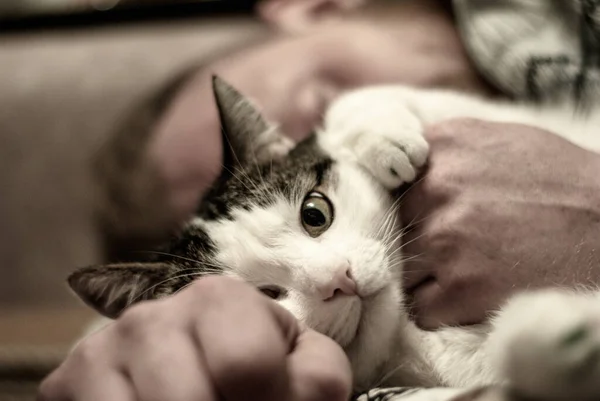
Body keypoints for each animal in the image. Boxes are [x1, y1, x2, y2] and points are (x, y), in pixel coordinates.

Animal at [68, 76, 600, 398]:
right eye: (263, 297)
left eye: (315, 213)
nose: (339, 278)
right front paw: (562, 336)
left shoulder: (510, 119)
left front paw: (382, 134)